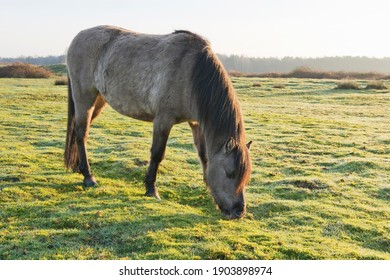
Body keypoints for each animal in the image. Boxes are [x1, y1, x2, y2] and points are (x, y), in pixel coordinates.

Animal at [65, 25, 251, 219]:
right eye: (230, 173)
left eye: (246, 177)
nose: (239, 211)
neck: (191, 72)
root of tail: (78, 37)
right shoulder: (163, 120)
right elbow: (157, 154)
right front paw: (151, 189)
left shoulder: (196, 124)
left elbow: (204, 156)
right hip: (85, 98)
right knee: (81, 133)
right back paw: (88, 177)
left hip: (99, 101)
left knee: (77, 131)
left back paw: (78, 167)